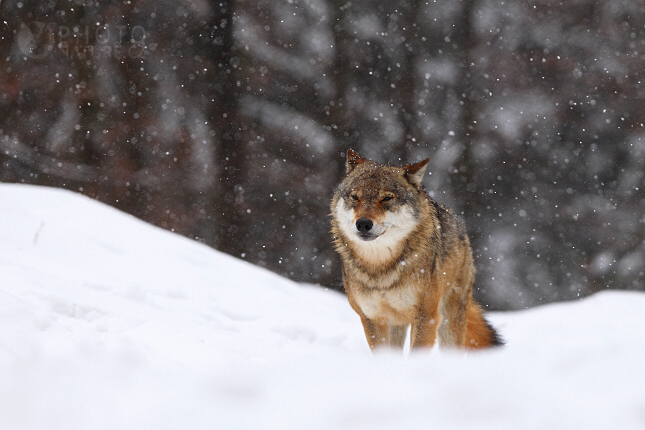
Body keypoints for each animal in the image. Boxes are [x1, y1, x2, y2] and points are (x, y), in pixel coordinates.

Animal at [332, 149, 504, 352]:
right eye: (355, 197)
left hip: (449, 321)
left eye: (387, 198)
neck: (381, 267)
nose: (363, 224)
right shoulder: (371, 318)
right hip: (397, 324)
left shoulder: (426, 316)